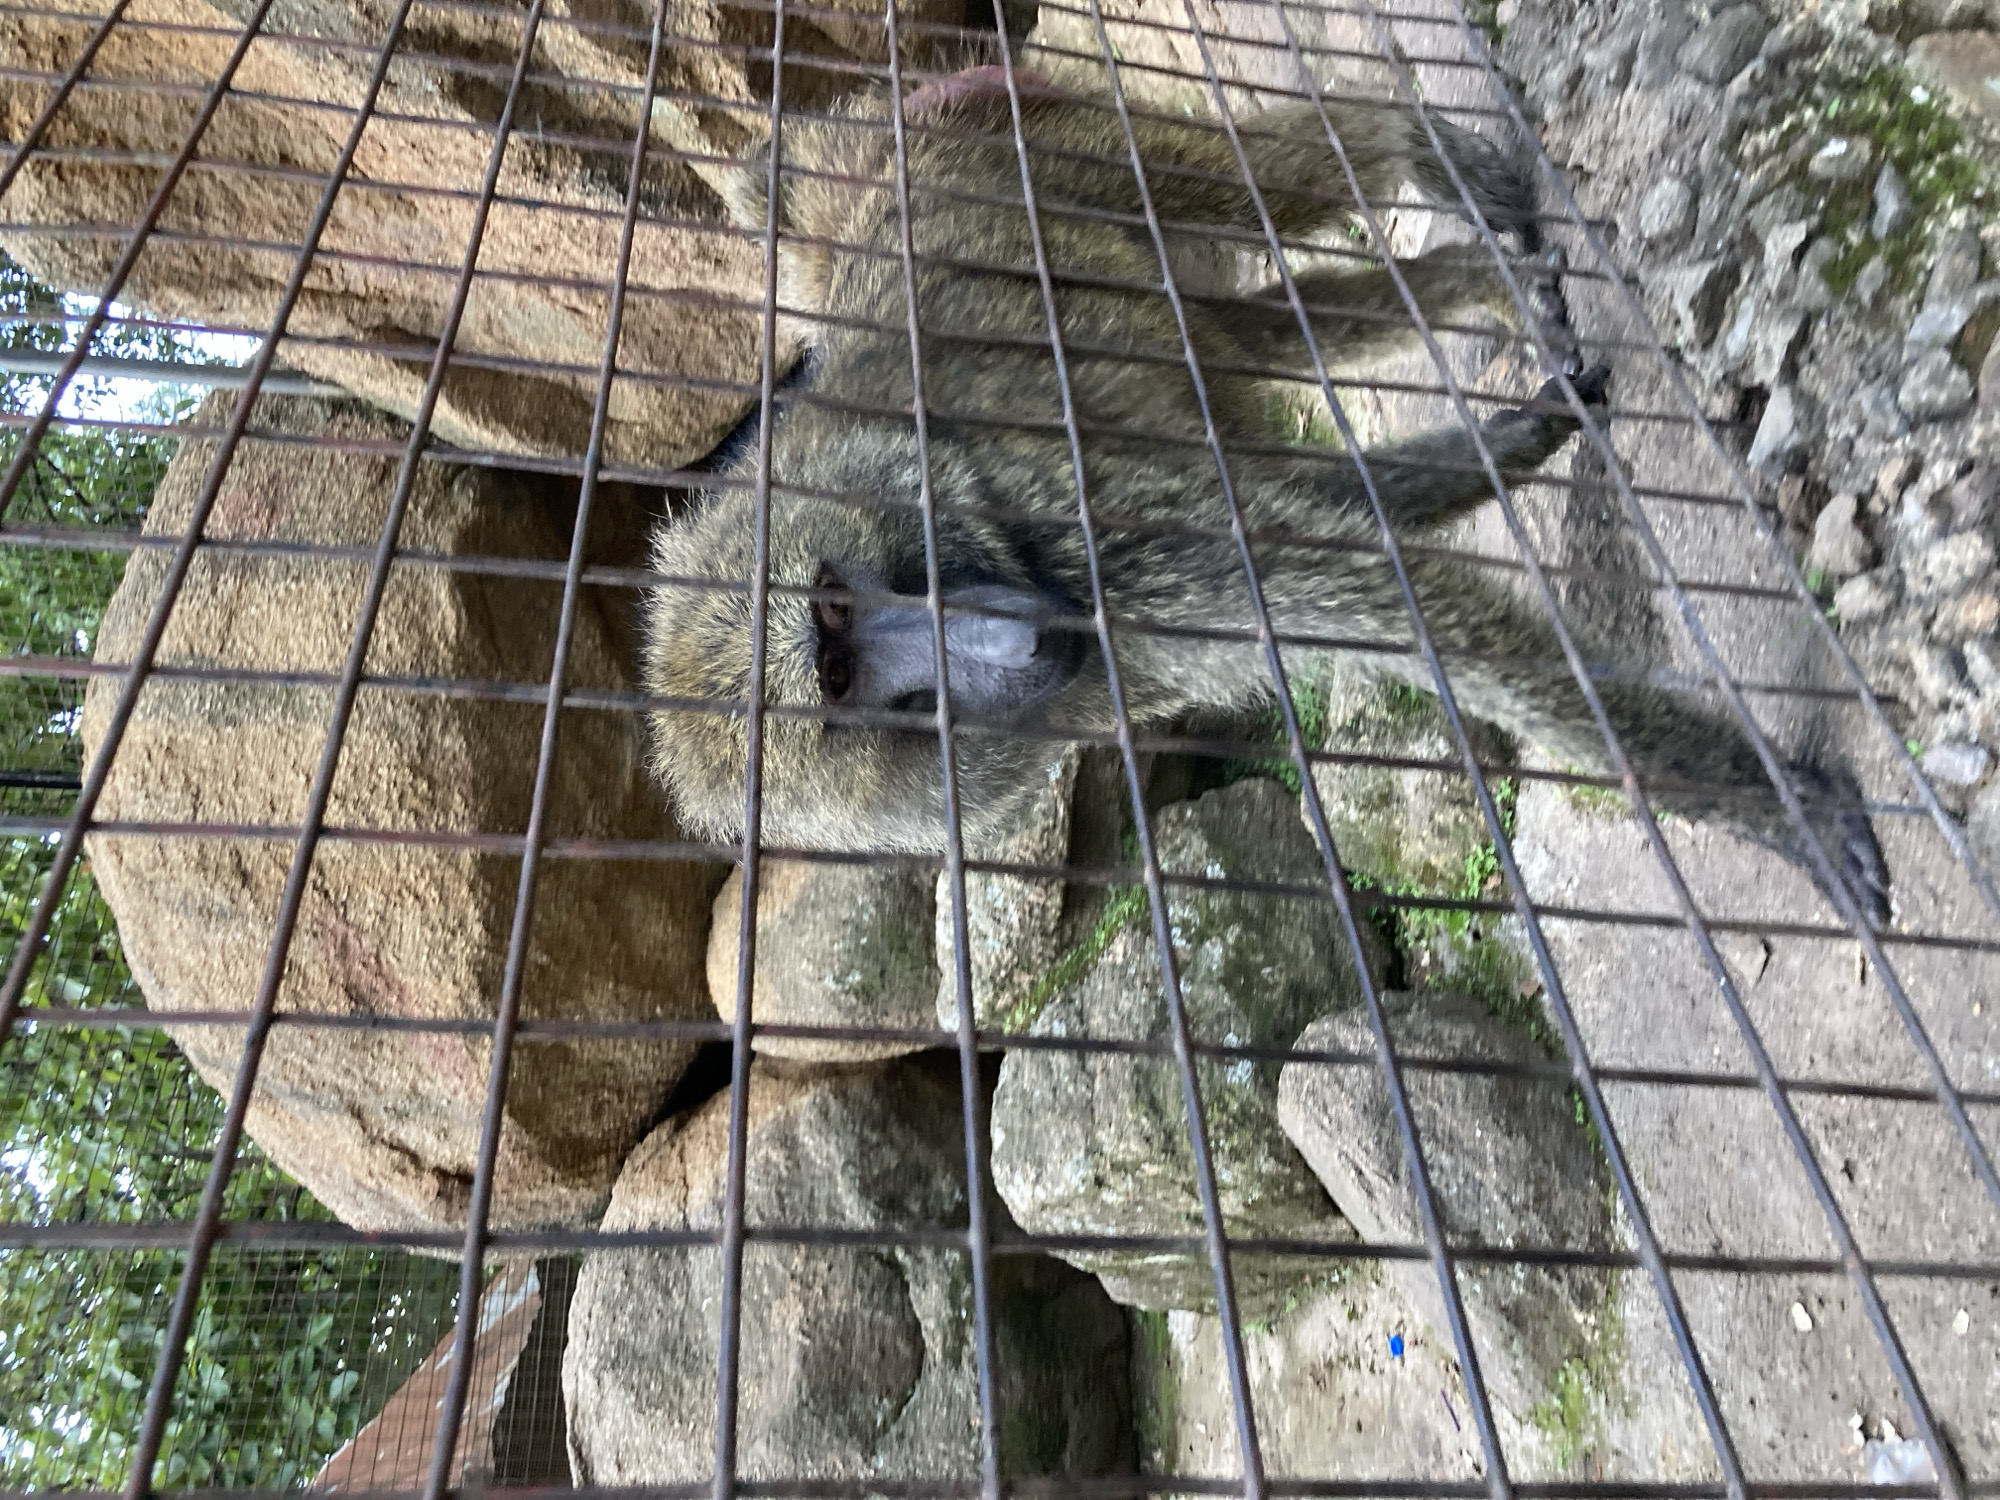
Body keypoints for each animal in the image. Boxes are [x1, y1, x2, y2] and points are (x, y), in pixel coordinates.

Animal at [641, 67, 1891, 928]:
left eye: (830, 611)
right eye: (842, 679)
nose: (1000, 637)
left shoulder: (1077, 527)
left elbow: (1388, 602)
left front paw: (1776, 810)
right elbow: (1345, 535)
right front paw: (1520, 440)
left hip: (1064, 162)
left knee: (1272, 179)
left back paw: (1434, 160)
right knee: (1258, 334)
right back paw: (1479, 285)